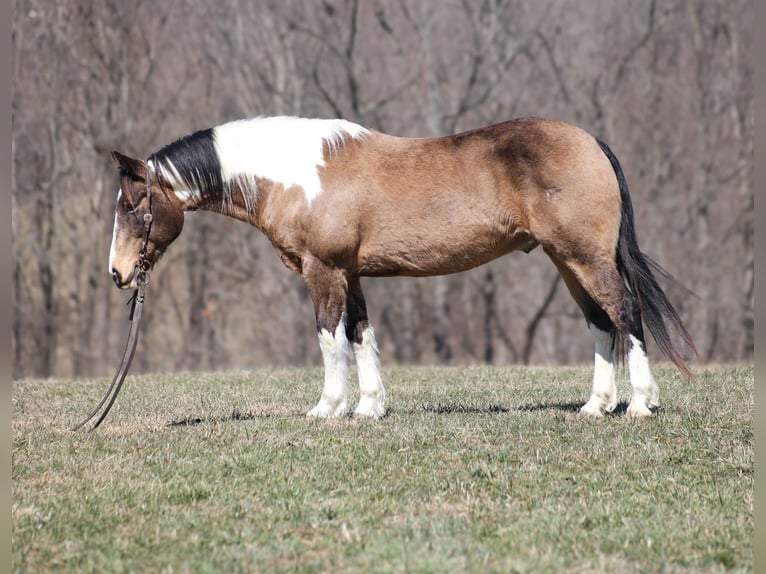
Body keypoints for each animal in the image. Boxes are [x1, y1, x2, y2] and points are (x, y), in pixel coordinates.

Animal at [108, 115, 696, 419]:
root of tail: (590, 141)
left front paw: (328, 408)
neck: (295, 174)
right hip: (566, 262)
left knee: (626, 313)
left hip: (585, 258)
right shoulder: (350, 274)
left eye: (134, 205)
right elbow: (361, 336)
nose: (118, 273)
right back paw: (597, 406)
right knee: (601, 324)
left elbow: (329, 339)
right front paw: (369, 408)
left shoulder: (323, 271)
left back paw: (640, 404)